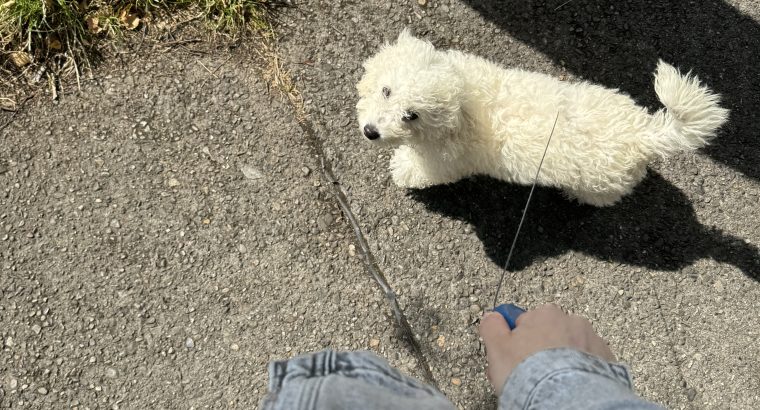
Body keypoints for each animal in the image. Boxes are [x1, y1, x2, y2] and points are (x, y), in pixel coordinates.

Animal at [356, 30, 732, 207]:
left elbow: (419, 171)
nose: (371, 132)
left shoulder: (446, 162)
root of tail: (644, 133)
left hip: (601, 184)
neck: (467, 99)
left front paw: (401, 169)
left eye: (412, 116)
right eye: (386, 91)